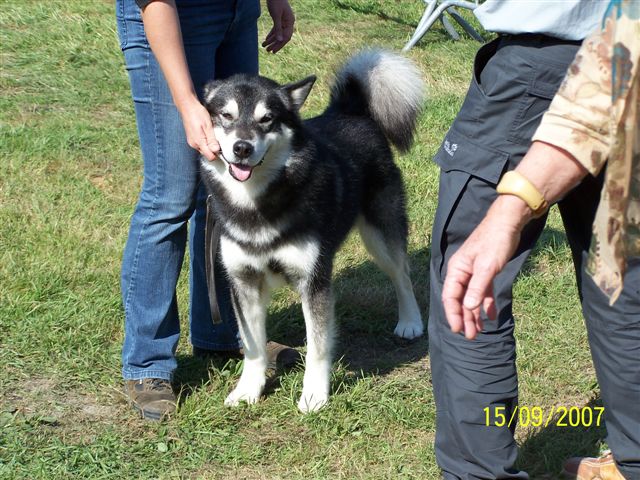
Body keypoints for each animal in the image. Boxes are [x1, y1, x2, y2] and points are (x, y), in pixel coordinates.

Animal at [200, 49, 424, 412]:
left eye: (267, 119)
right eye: (226, 115)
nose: (242, 148)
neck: (256, 205)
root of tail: (349, 110)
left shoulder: (313, 281)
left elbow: (318, 347)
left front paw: (314, 395)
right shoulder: (243, 281)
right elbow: (253, 347)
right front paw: (248, 390)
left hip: (380, 233)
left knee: (401, 274)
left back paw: (410, 321)